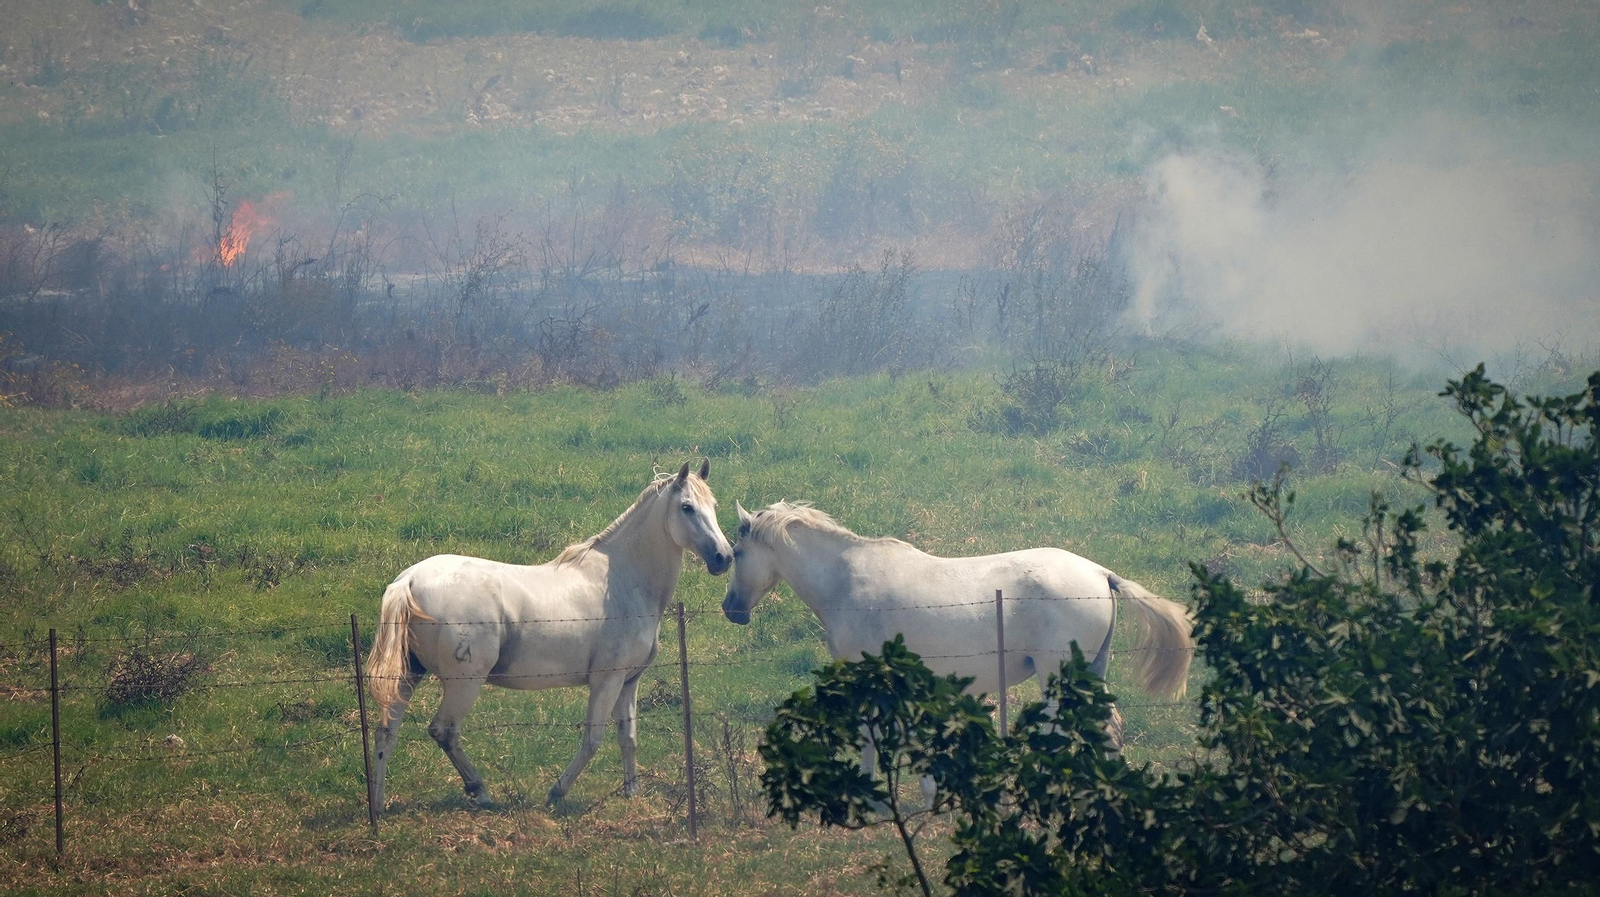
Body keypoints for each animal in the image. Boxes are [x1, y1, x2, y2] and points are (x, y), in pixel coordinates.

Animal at [365, 461, 733, 810]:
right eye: (687, 507)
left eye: (714, 505)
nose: (724, 557)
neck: (622, 582)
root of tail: (409, 581)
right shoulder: (607, 680)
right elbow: (593, 740)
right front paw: (557, 792)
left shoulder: (629, 681)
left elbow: (628, 737)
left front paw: (632, 793)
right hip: (464, 684)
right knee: (443, 730)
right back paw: (480, 791)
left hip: (410, 676)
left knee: (387, 732)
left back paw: (379, 804)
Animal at [721, 501, 1193, 763]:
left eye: (738, 552)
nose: (731, 609)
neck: (845, 580)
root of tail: (1099, 573)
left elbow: (872, 739)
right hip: (1092, 670)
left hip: (1057, 674)